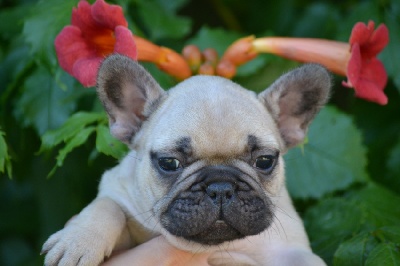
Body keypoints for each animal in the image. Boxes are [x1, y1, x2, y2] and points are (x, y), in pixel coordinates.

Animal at [43, 54, 332, 266]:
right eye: (169, 163)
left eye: (264, 161)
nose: (221, 187)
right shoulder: (118, 194)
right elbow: (107, 206)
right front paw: (78, 240)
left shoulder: (291, 252)